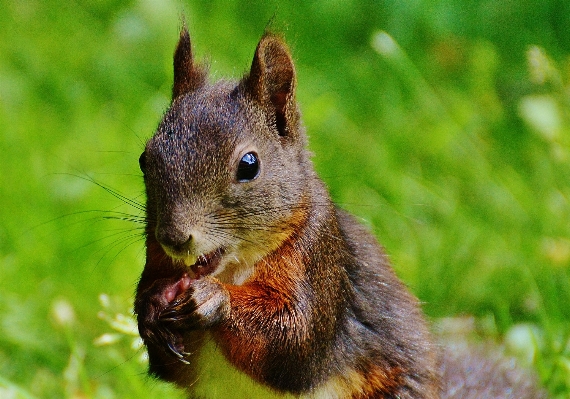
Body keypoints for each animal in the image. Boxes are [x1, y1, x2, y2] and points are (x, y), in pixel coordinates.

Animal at [132, 28, 540, 399]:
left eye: (249, 164)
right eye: (144, 158)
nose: (173, 238)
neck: (232, 267)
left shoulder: (319, 260)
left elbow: (293, 342)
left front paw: (212, 298)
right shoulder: (158, 262)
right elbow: (171, 367)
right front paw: (150, 308)